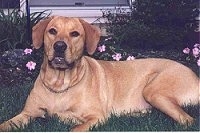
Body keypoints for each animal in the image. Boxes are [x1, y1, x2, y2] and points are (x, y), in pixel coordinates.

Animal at [0, 15, 198, 131]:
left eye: (75, 34)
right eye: (52, 31)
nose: (59, 46)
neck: (60, 84)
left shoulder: (97, 117)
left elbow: (75, 127)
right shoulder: (26, 114)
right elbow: (6, 124)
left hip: (153, 91)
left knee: (189, 120)